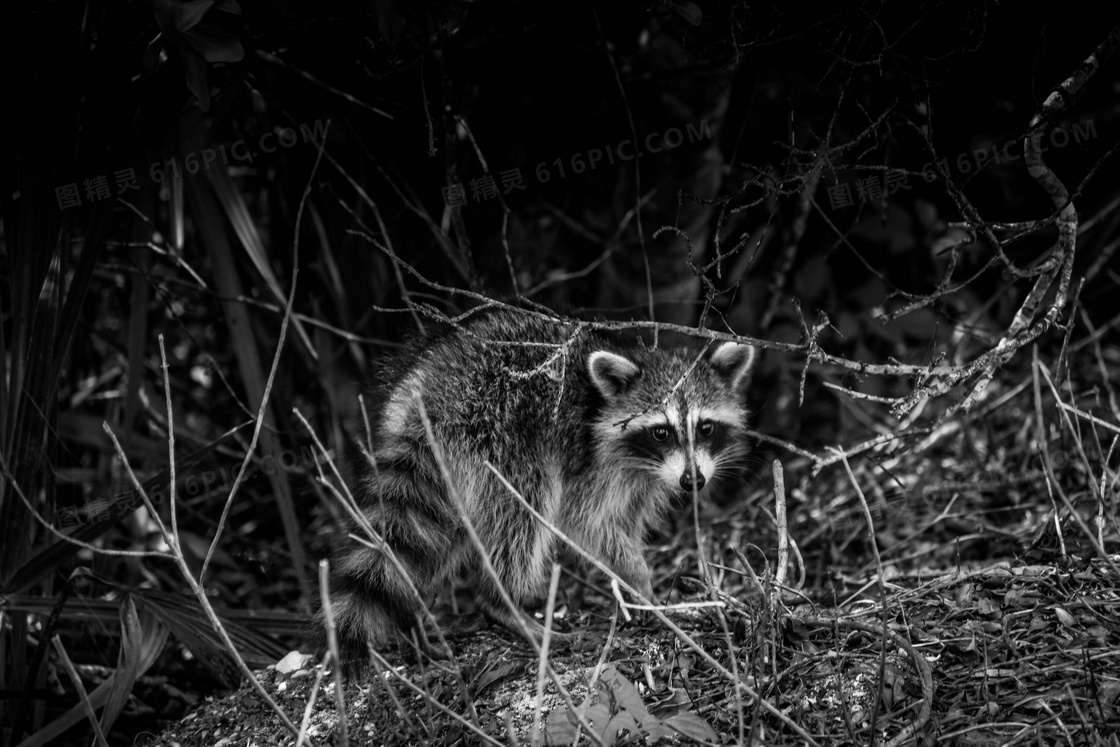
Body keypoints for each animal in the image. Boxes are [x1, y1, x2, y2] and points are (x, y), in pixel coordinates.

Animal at [327, 306, 757, 663]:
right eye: (661, 432)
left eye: (705, 427)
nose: (693, 481)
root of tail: (425, 390)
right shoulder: (591, 464)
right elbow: (589, 525)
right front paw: (640, 582)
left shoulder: (642, 479)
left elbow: (626, 521)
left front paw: (637, 583)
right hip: (496, 433)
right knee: (523, 513)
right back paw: (501, 601)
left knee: (439, 531)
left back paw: (417, 617)